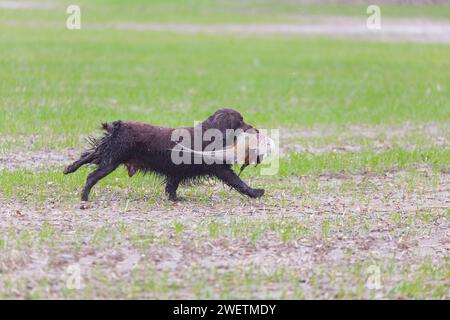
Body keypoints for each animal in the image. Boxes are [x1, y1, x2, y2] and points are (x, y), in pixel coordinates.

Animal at [65, 109, 266, 206]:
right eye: (241, 121)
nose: (255, 129)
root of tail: (118, 126)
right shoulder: (220, 169)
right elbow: (238, 182)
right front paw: (256, 192)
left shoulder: (177, 172)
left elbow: (171, 186)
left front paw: (174, 198)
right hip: (111, 161)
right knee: (91, 176)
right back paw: (84, 197)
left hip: (107, 155)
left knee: (87, 155)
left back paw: (68, 169)